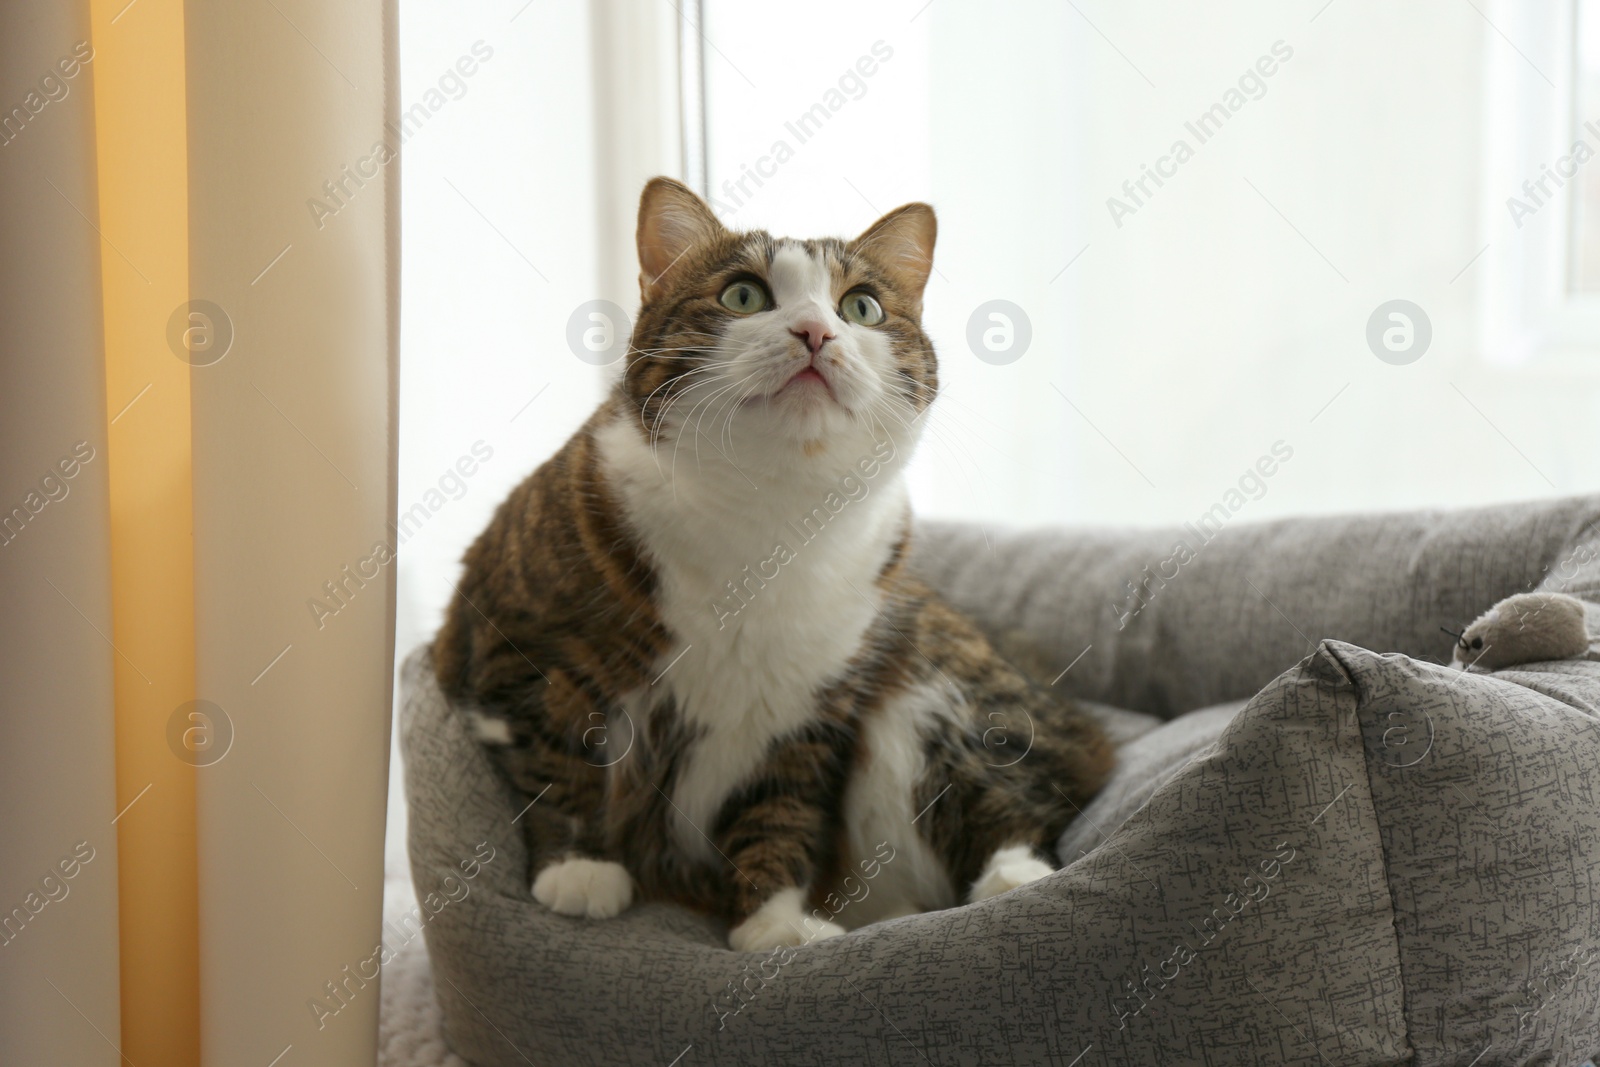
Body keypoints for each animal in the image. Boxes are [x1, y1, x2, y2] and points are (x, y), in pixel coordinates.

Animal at [438, 175, 1113, 953]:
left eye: (862, 306)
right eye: (743, 295)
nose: (816, 332)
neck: (772, 516)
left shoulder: (812, 704)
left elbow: (781, 804)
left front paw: (775, 922)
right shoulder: (520, 644)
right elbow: (556, 755)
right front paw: (579, 868)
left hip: (933, 677)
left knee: (1006, 785)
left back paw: (1016, 879)